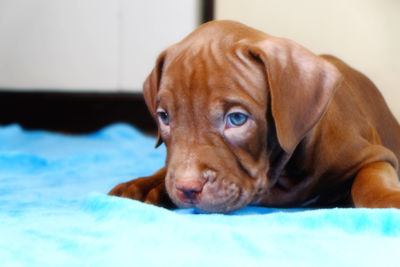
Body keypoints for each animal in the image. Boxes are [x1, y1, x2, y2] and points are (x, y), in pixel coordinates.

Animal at [109, 20, 400, 214]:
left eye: (237, 119)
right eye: (164, 117)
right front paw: (146, 185)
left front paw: (390, 199)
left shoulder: (375, 156)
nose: (187, 188)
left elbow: (370, 183)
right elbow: (166, 169)